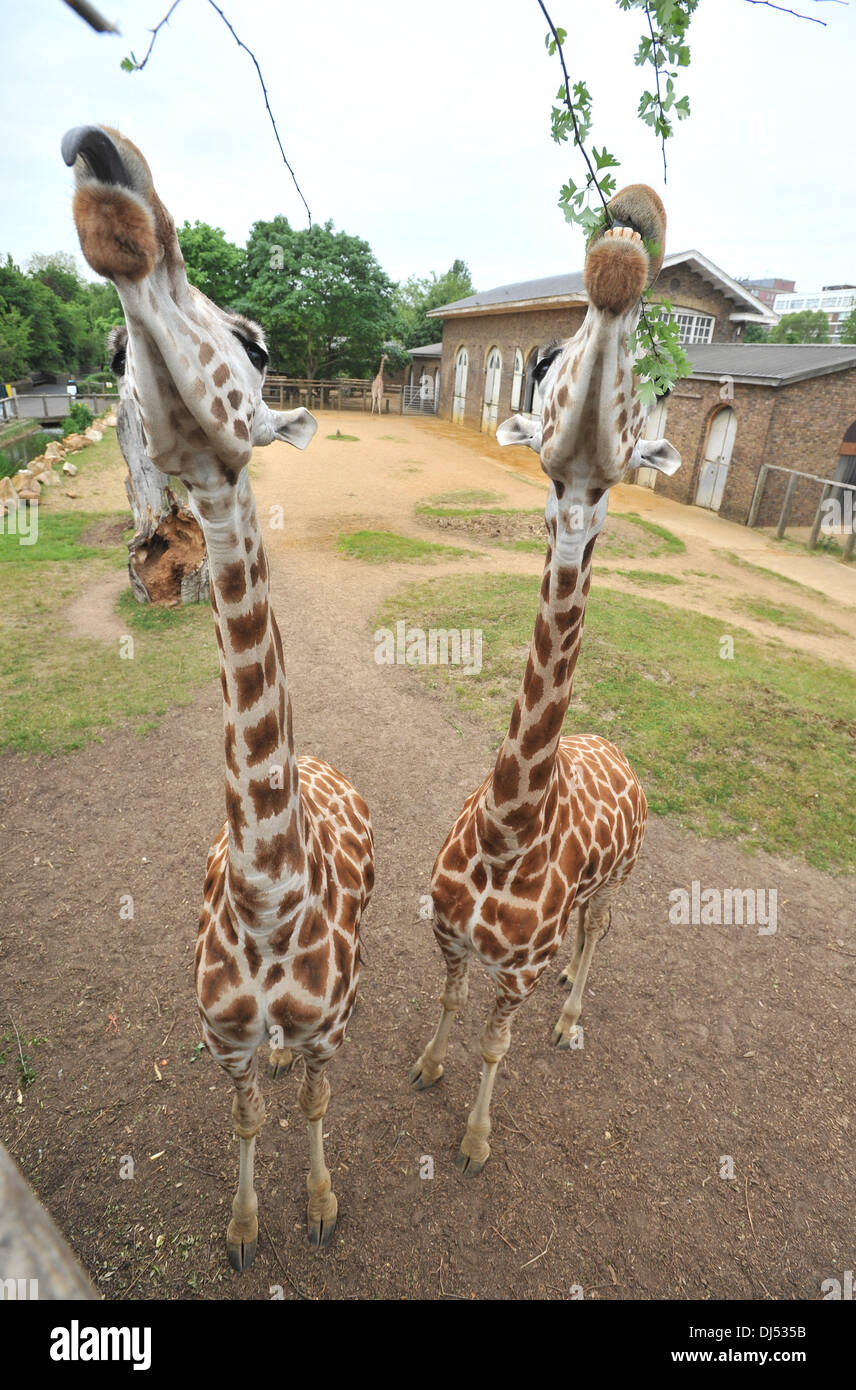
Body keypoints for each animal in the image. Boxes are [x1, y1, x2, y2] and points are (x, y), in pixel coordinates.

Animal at [64, 127, 375, 1273]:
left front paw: (320, 1206)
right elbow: (246, 1114)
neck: (269, 896)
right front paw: (244, 1230)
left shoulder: (330, 1023)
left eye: (257, 341)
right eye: (113, 358)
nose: (105, 162)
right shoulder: (223, 1039)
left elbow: (322, 1104)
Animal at [408, 187, 680, 1173]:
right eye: (549, 360)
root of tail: (622, 753)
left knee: (598, 932)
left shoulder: (513, 972)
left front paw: (477, 1139)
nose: (631, 226)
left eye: (647, 393)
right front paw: (426, 1068)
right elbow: (450, 1007)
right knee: (583, 936)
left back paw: (571, 1017)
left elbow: (495, 1044)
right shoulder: (446, 934)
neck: (508, 834)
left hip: (623, 878)